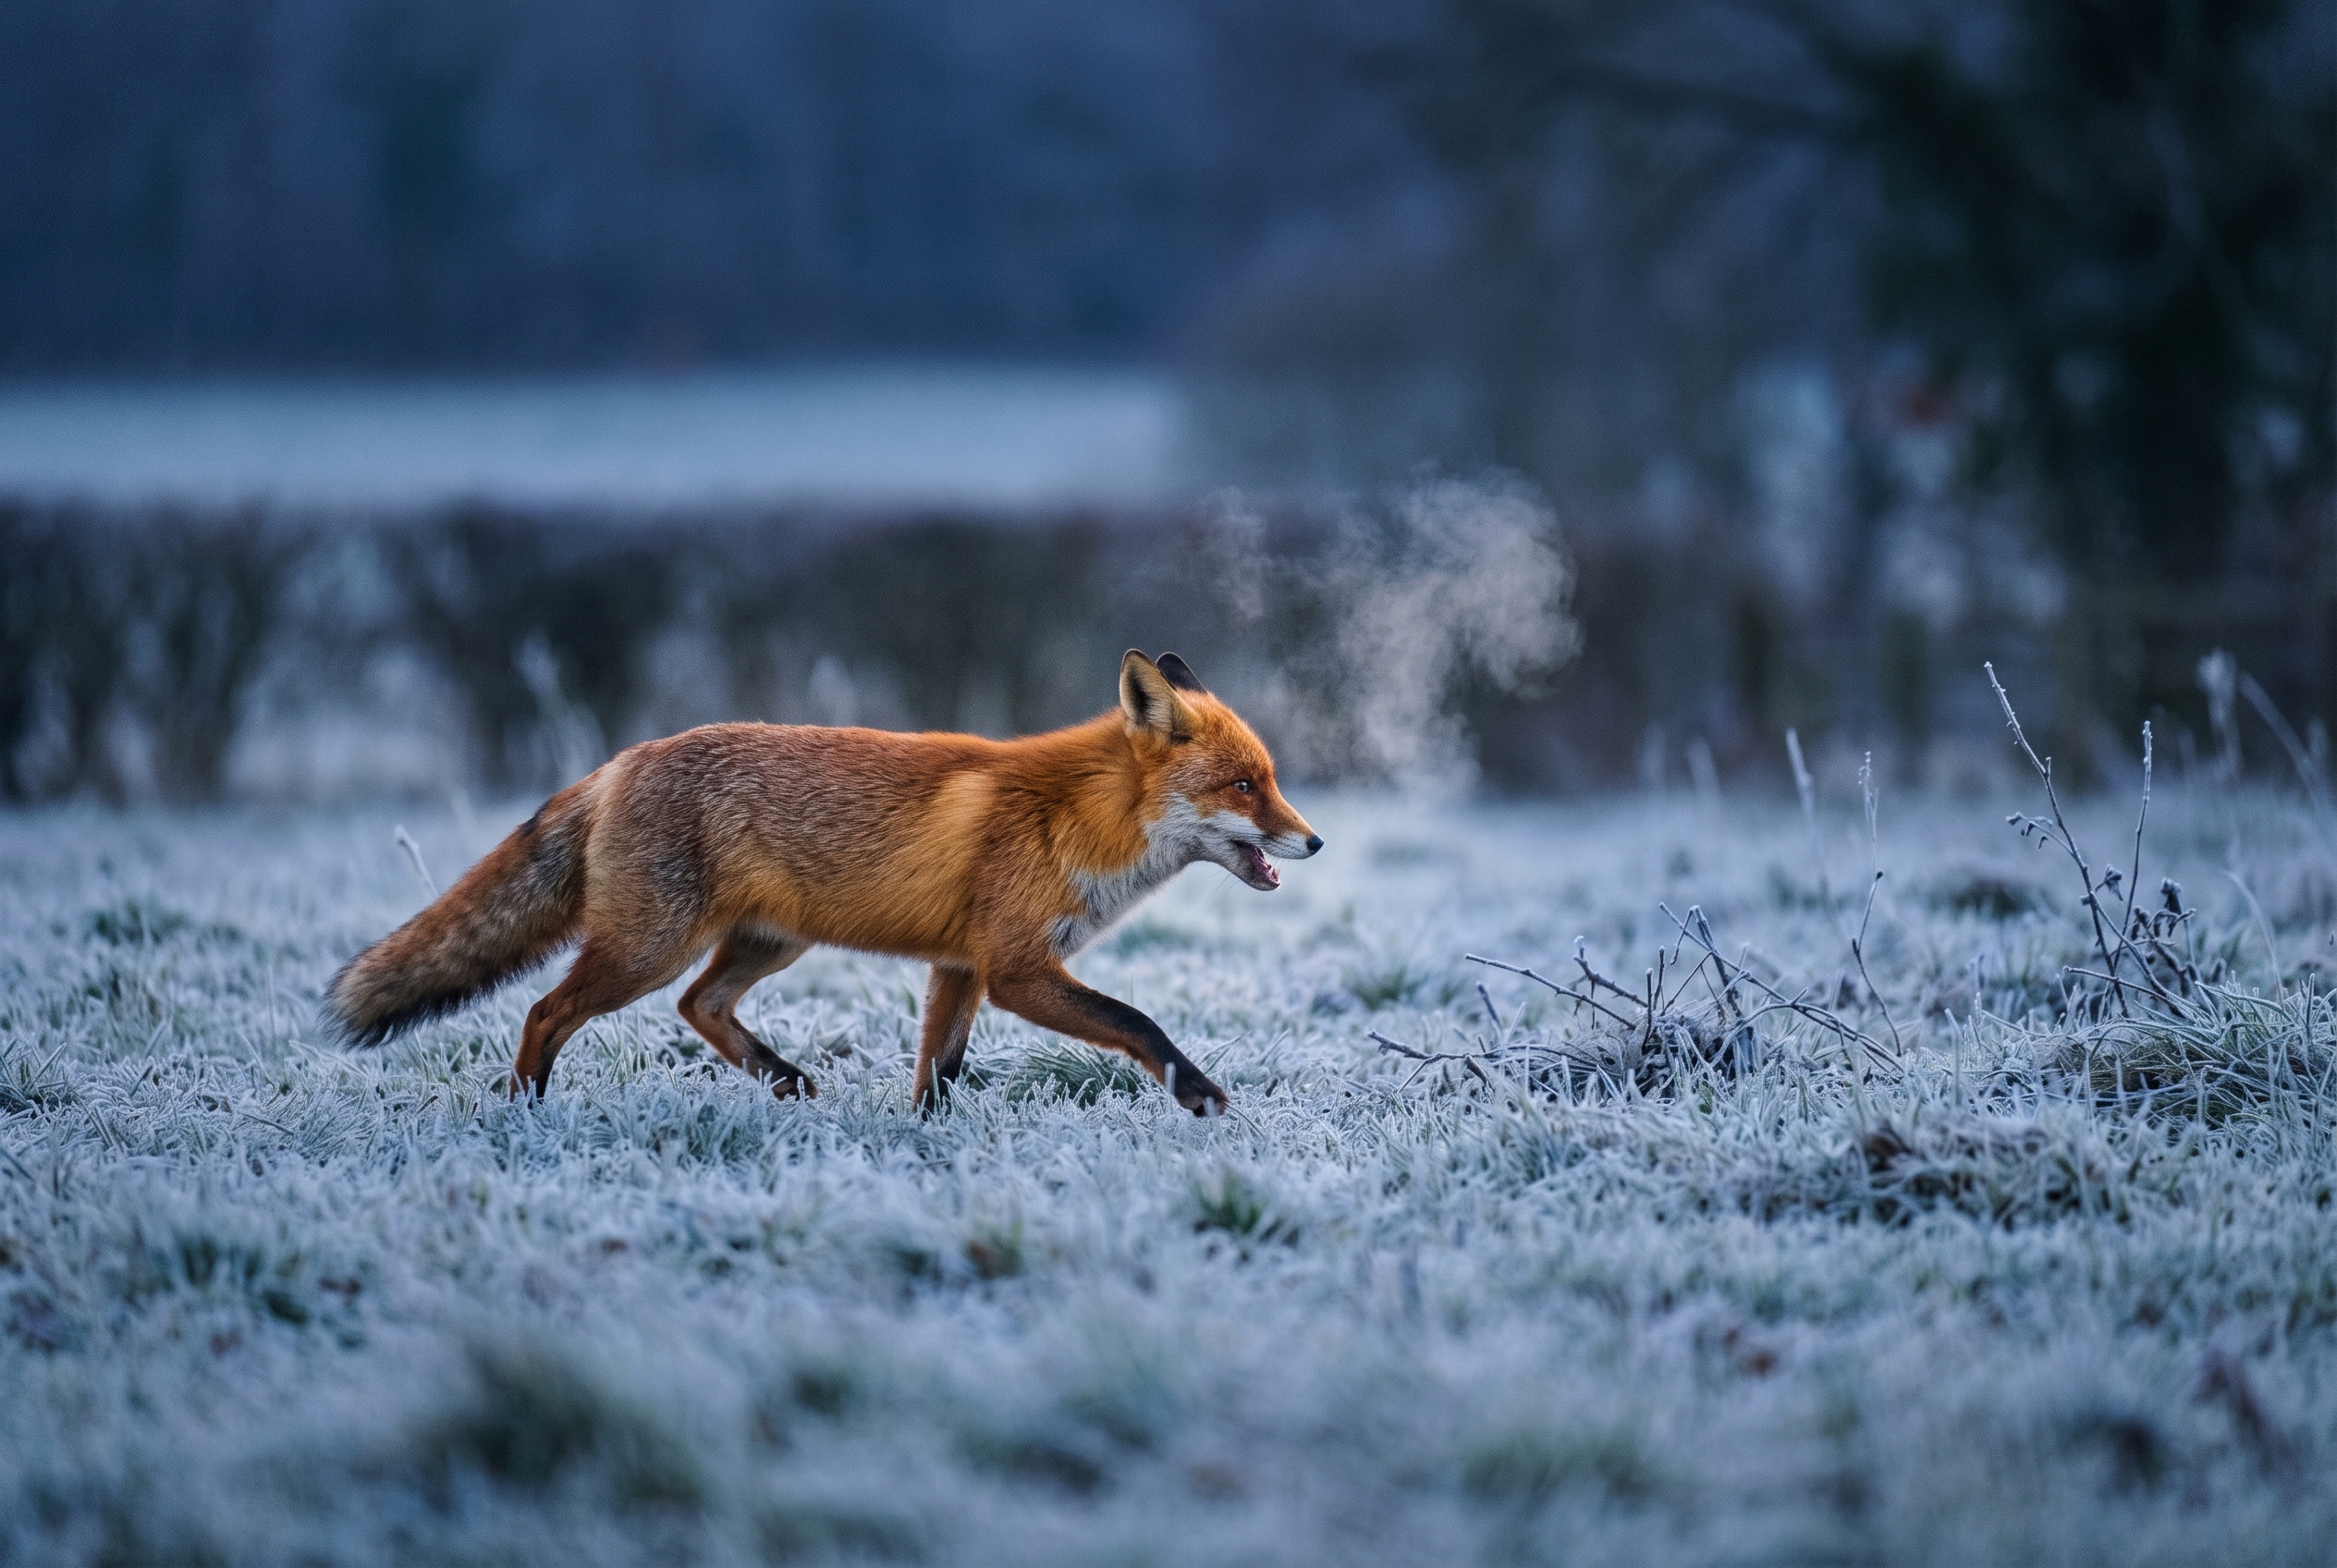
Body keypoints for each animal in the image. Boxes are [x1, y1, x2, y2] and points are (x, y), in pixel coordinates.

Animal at [323, 650, 1320, 1115]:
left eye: (1271, 779)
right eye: (1244, 786)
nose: (1312, 839)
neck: (1081, 818)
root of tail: (618, 763)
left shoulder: (959, 970)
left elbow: (939, 1072)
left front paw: (928, 1146)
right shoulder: (1014, 968)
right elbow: (1137, 1022)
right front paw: (1196, 1093)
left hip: (769, 942)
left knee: (698, 1007)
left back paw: (785, 1081)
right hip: (647, 948)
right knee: (546, 1011)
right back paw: (525, 1111)